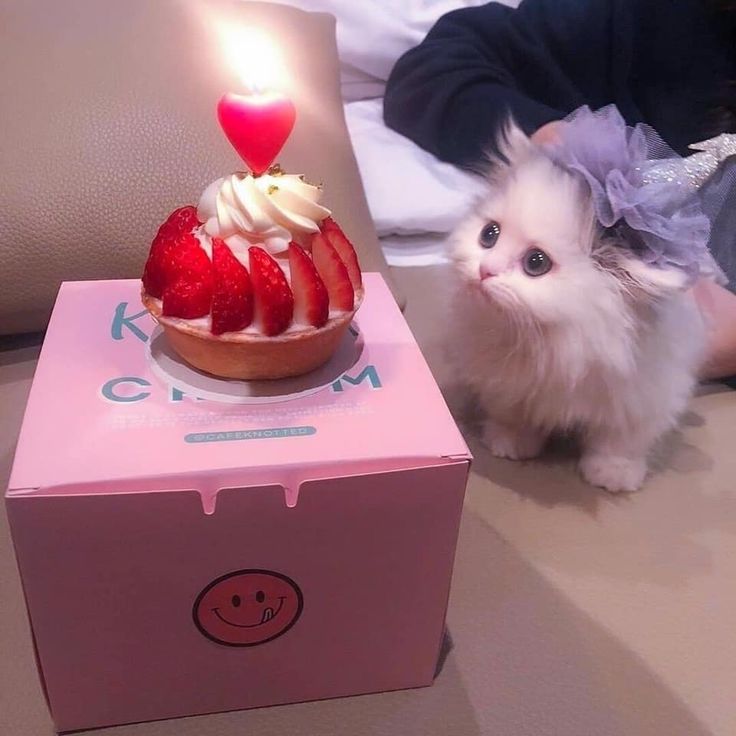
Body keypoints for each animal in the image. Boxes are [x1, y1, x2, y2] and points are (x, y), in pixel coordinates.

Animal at [448, 123, 708, 492]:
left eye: (536, 263)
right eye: (489, 235)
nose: (485, 270)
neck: (561, 343)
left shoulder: (644, 398)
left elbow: (620, 442)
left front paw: (613, 474)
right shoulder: (507, 381)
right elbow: (512, 415)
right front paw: (510, 443)